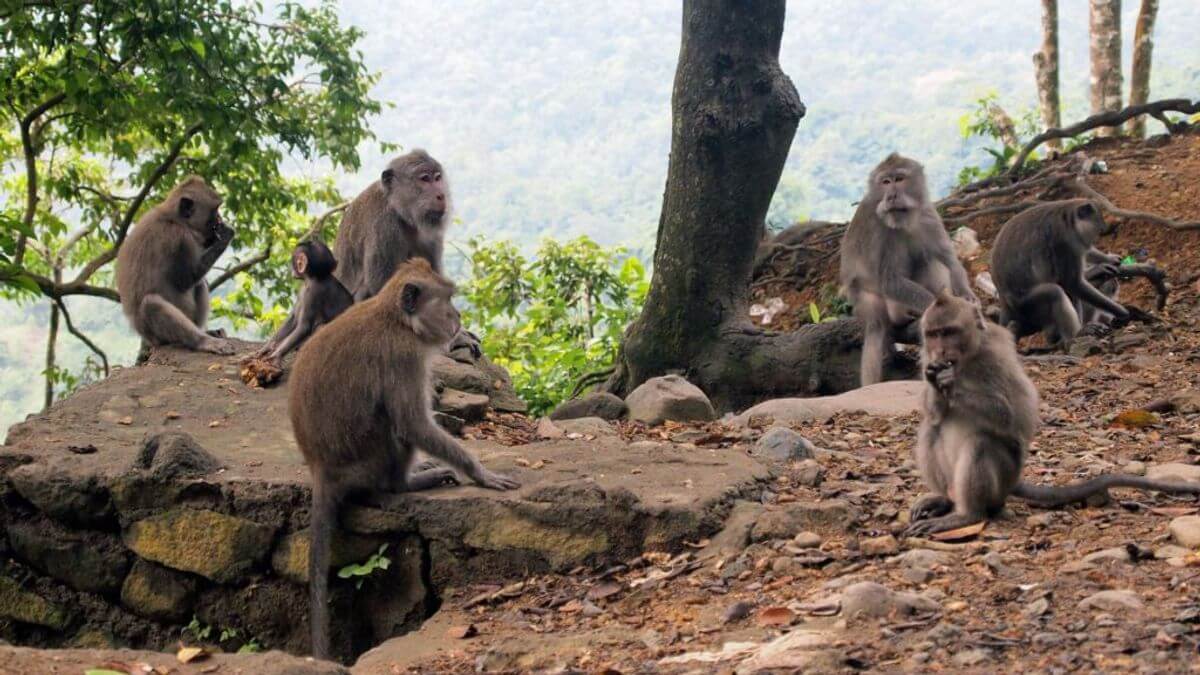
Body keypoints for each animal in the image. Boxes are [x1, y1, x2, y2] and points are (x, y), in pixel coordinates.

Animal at [118, 172, 235, 355]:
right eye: (214, 211)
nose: (220, 219)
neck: (173, 219)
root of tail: (150, 342)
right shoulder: (179, 239)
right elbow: (185, 280)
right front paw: (225, 236)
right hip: (156, 336)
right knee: (151, 304)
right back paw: (202, 341)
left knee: (200, 284)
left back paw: (205, 331)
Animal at [290, 254, 520, 653]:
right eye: (446, 300)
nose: (458, 316)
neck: (395, 319)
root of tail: (319, 469)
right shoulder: (403, 355)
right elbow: (412, 423)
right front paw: (480, 473)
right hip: (369, 460)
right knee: (389, 425)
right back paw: (407, 483)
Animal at [907, 289, 1200, 535]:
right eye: (932, 334)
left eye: (948, 332)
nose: (940, 350)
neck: (967, 357)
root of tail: (1013, 482)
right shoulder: (927, 356)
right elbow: (934, 414)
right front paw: (935, 381)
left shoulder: (995, 356)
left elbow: (1009, 416)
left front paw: (951, 381)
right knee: (930, 430)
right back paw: (943, 499)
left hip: (1004, 476)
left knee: (982, 443)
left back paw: (968, 515)